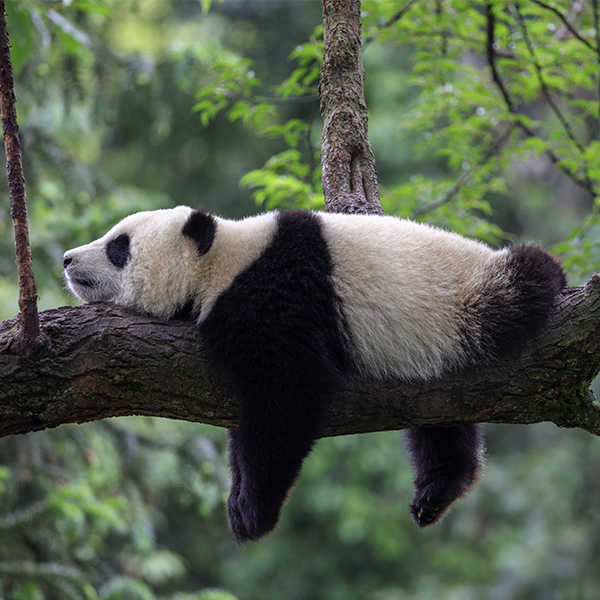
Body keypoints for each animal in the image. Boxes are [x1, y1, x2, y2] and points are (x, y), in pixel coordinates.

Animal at [63, 206, 564, 544]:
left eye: (119, 246)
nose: (67, 259)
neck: (223, 260)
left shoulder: (277, 296)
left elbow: (290, 393)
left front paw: (253, 511)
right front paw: (238, 497)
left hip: (467, 300)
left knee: (525, 280)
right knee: (441, 421)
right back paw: (436, 491)